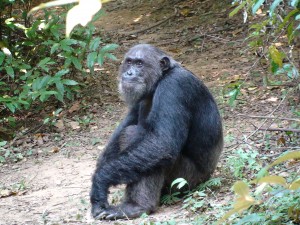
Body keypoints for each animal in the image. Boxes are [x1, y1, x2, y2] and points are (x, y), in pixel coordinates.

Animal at [89, 44, 223, 220]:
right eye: (129, 62)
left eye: (140, 64)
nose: (129, 72)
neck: (159, 80)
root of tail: (209, 178)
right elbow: (126, 123)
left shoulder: (175, 88)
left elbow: (162, 142)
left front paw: (100, 181)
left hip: (187, 181)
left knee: (138, 139)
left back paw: (136, 206)